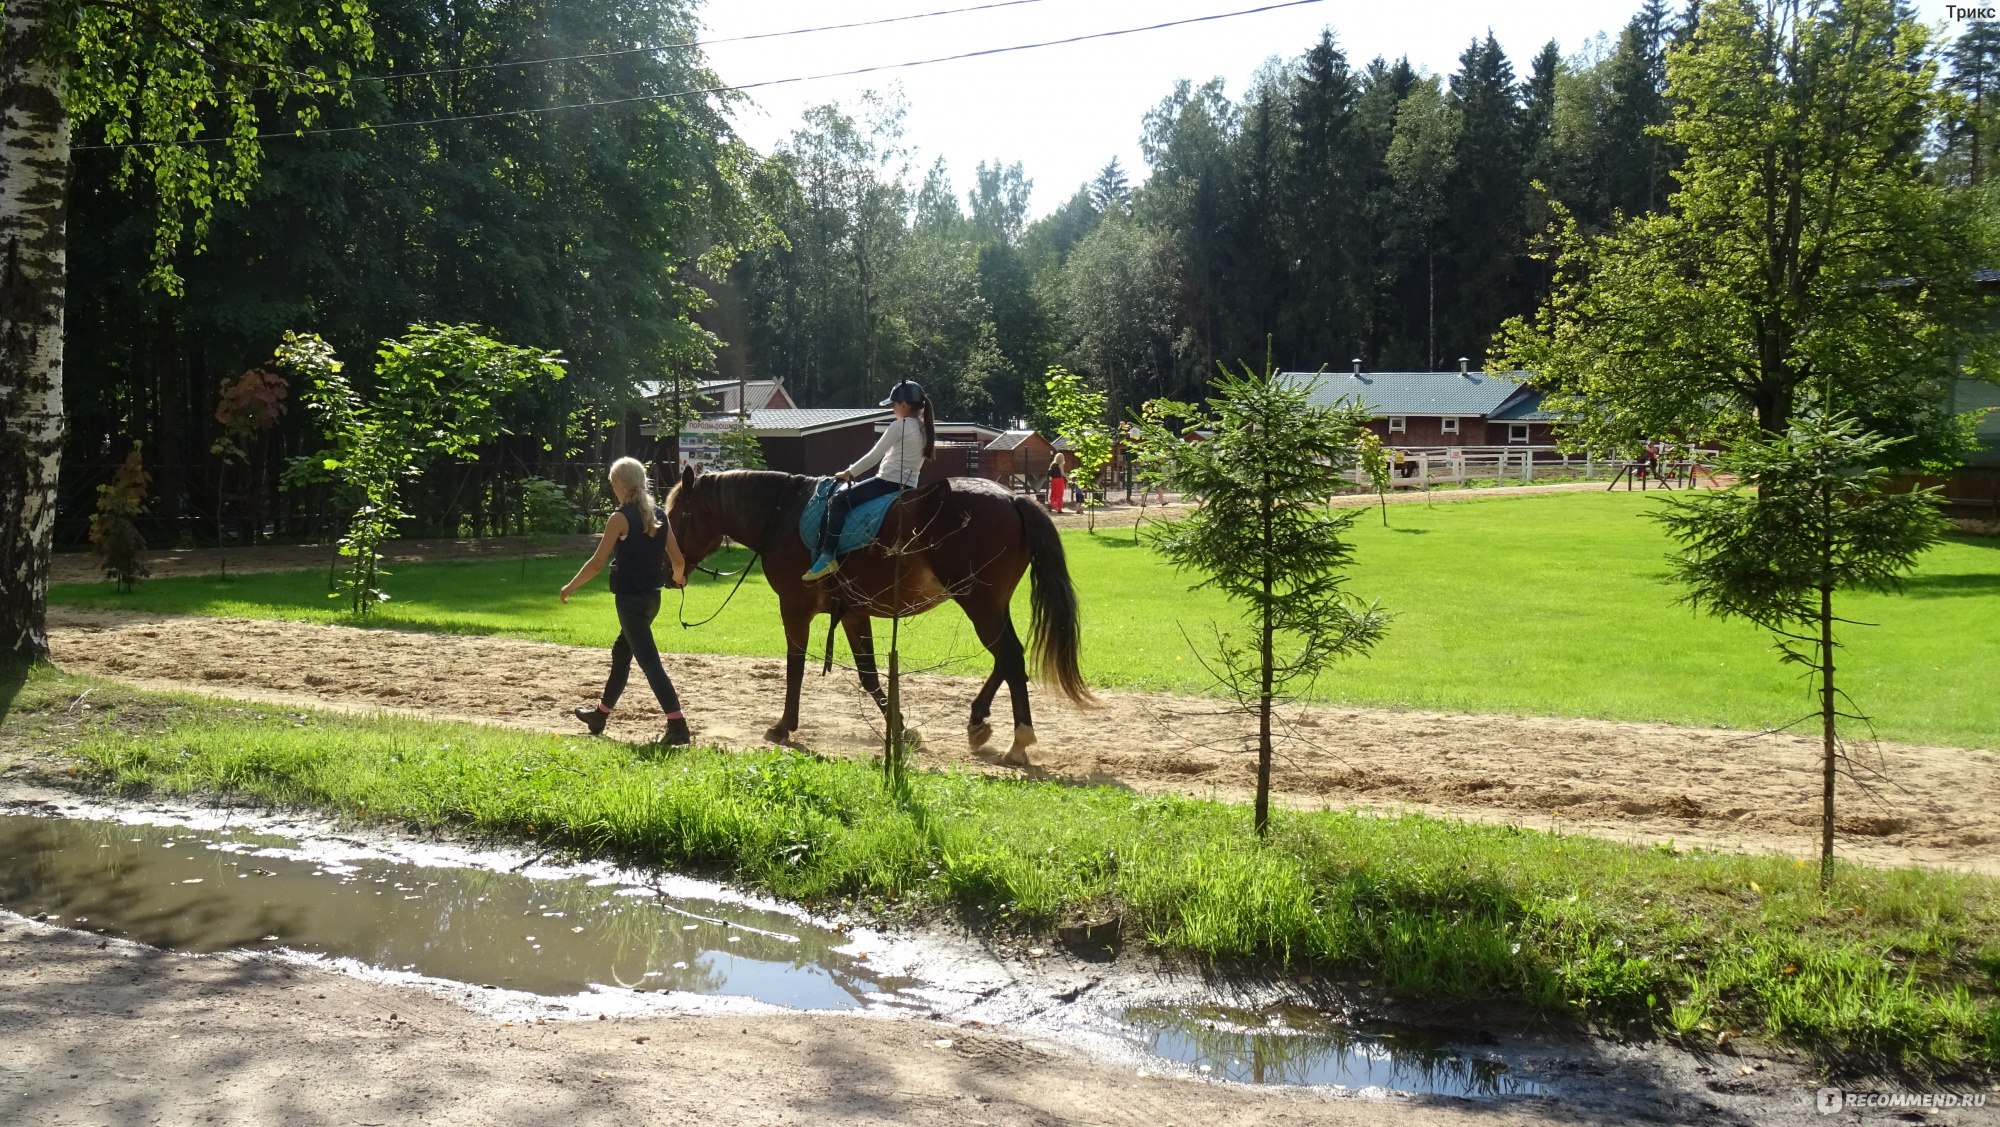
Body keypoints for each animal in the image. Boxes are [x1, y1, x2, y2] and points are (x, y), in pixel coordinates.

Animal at [664, 461, 1088, 763]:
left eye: (681, 517)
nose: (671, 571)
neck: (783, 515)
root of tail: (1014, 498)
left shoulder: (795, 609)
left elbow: (795, 668)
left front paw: (784, 726)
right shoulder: (853, 613)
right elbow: (868, 676)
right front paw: (900, 728)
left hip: (980, 603)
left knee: (1010, 657)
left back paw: (1020, 740)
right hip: (991, 605)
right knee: (1007, 657)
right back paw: (978, 721)